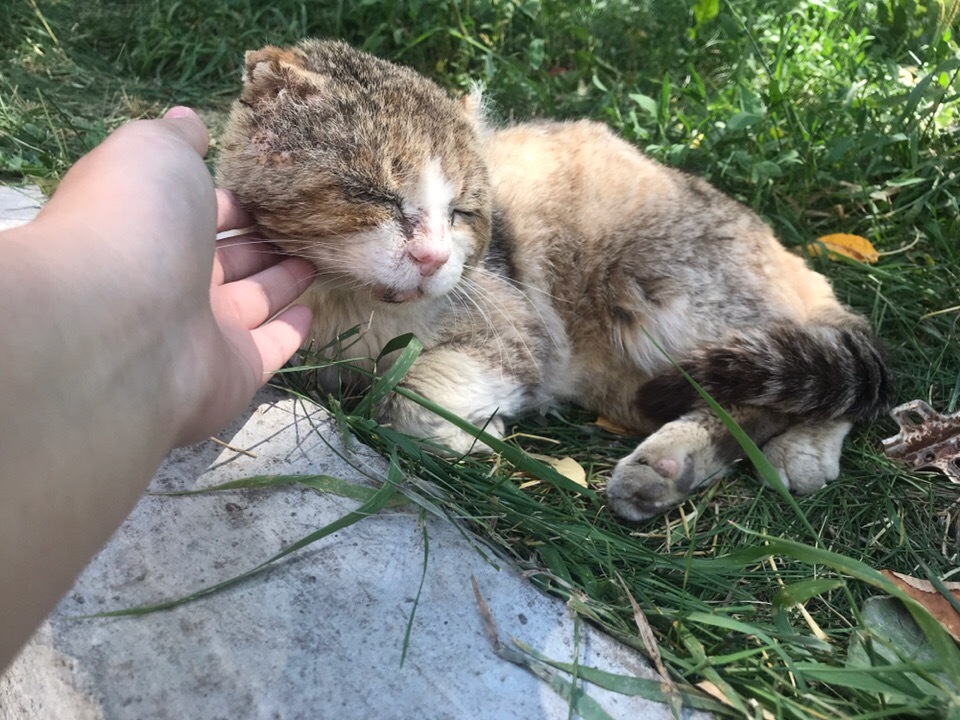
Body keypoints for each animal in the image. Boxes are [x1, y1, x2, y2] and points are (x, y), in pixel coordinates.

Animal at [216, 39, 892, 520]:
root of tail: (785, 254)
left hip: (669, 296)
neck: (351, 306)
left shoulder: (516, 326)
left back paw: (796, 452)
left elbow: (416, 393)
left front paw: (466, 429)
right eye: (373, 195)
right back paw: (671, 469)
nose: (433, 258)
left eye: (461, 212)